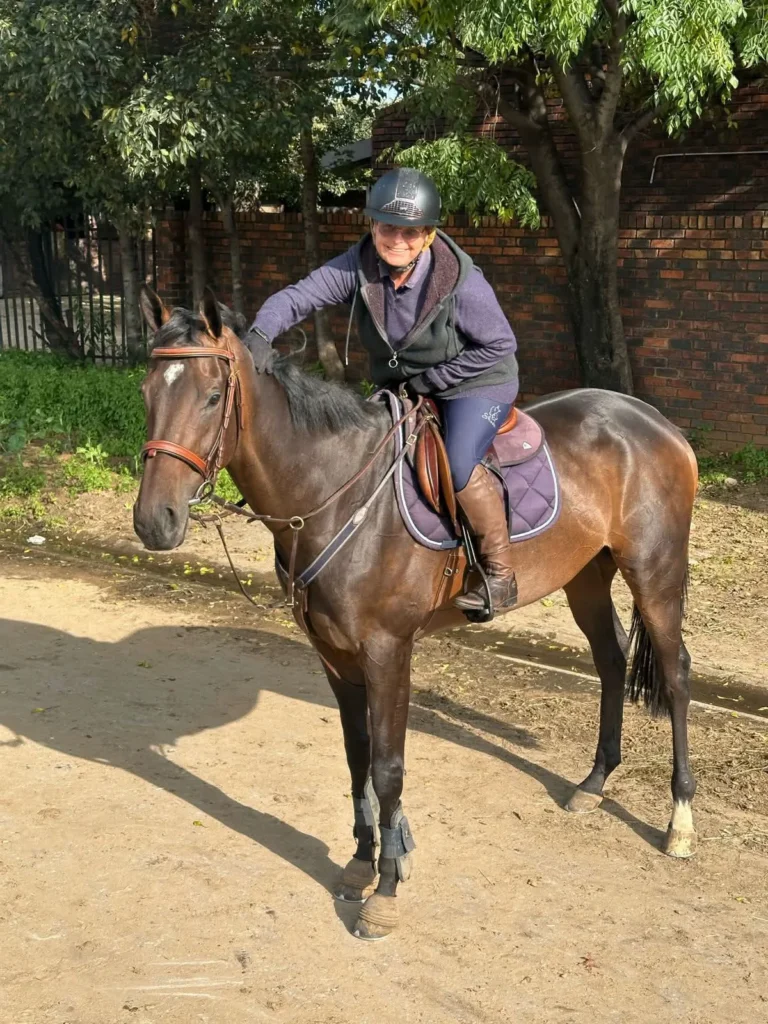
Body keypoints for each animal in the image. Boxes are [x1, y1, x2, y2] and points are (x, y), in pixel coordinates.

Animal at [133, 286, 699, 941]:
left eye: (211, 396)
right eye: (147, 392)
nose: (154, 521)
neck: (336, 493)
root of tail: (656, 423)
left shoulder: (388, 651)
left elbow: (388, 767)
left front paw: (388, 885)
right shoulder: (334, 655)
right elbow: (356, 757)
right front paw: (360, 862)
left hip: (656, 573)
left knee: (675, 674)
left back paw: (680, 822)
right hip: (586, 573)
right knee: (610, 660)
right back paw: (595, 782)